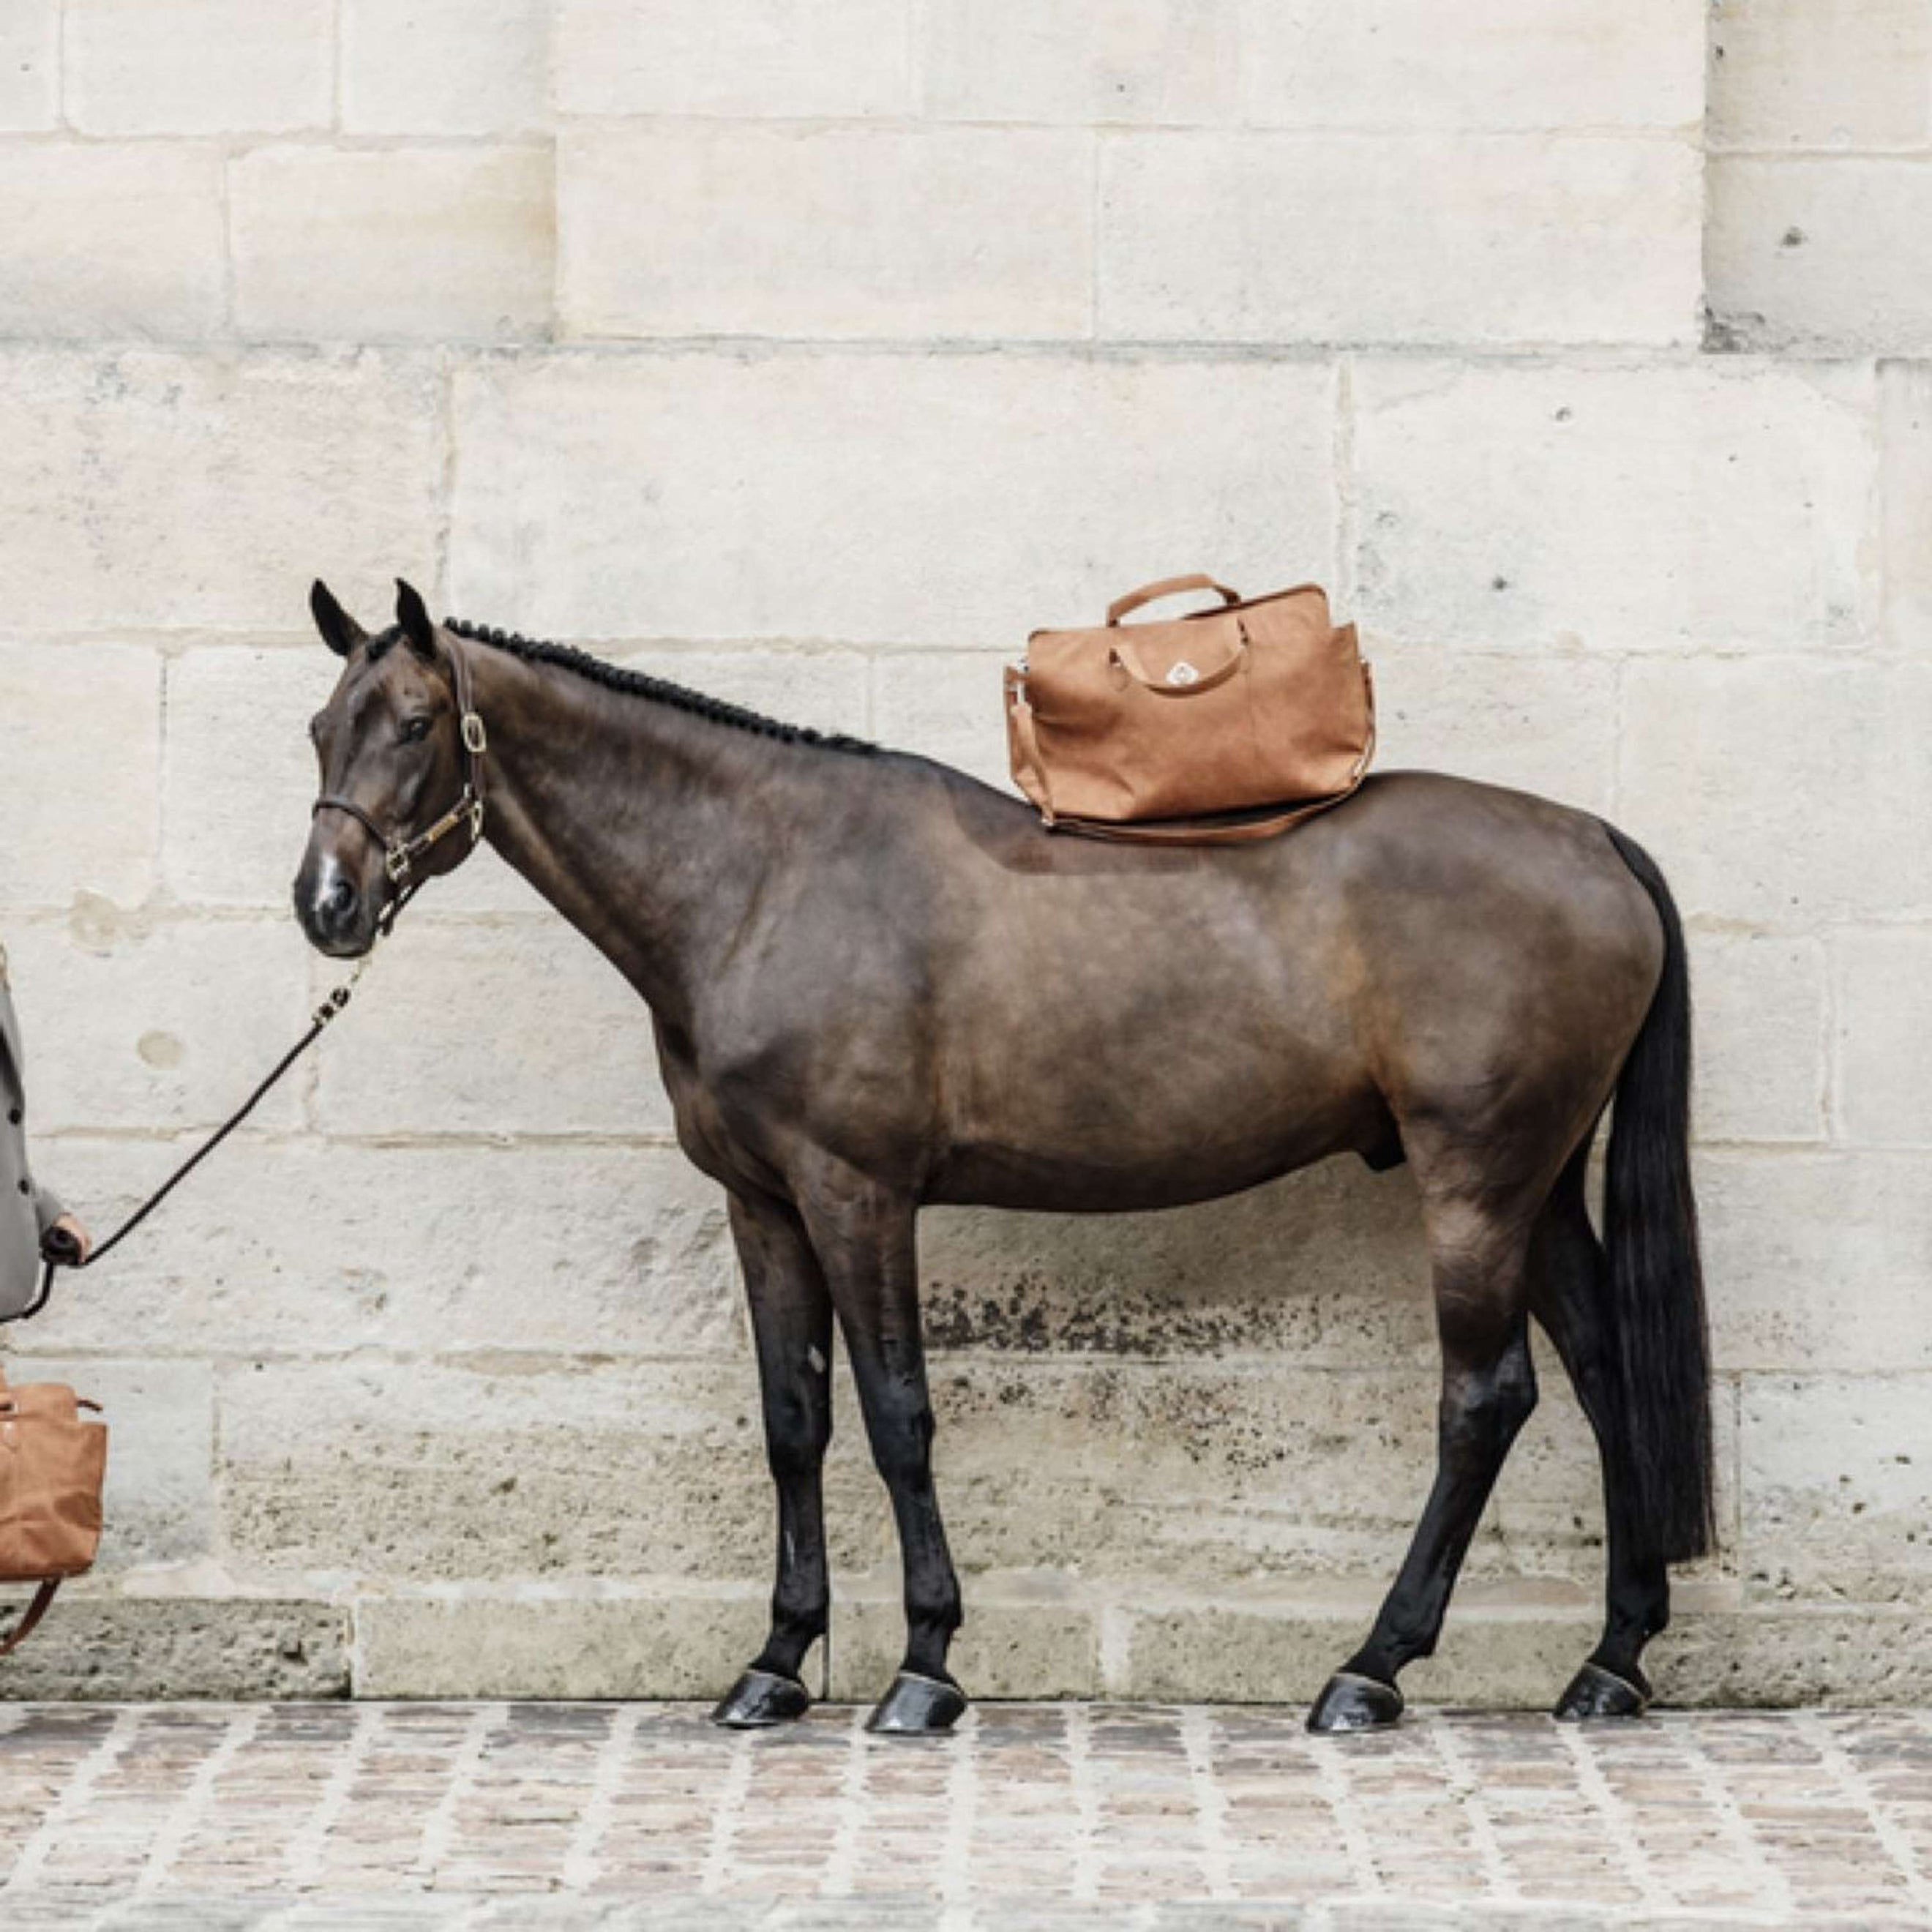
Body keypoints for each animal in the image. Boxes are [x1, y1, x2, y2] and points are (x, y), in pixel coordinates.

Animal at [293, 572, 1715, 1739]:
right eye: (319, 729)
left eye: (414, 724)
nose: (328, 905)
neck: (762, 879)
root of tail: (1595, 841)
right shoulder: (763, 1204)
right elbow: (795, 1421)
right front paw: (776, 1664)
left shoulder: (857, 1193)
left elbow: (897, 1415)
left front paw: (924, 1667)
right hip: (1538, 1188)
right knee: (1605, 1374)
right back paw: (1610, 1662)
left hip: (1475, 1181)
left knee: (1485, 1402)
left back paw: (1371, 1670)